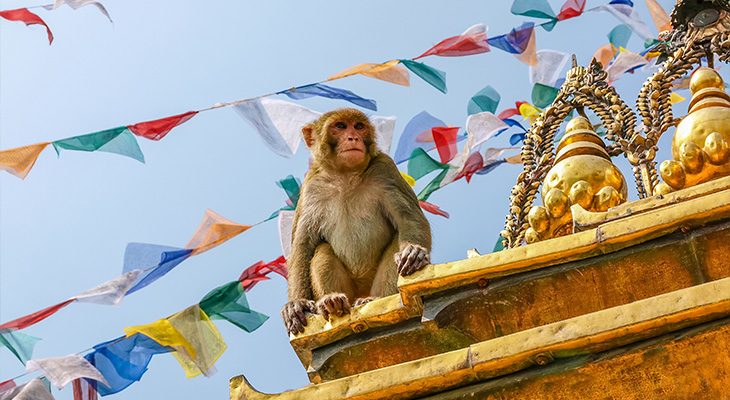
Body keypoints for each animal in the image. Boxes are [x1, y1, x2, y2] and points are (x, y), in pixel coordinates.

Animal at [281, 108, 431, 335]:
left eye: (359, 126)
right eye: (340, 126)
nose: (353, 137)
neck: (345, 175)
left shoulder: (385, 169)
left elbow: (408, 218)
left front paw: (414, 252)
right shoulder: (310, 188)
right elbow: (302, 245)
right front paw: (296, 304)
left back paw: (372, 299)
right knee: (322, 249)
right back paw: (332, 302)